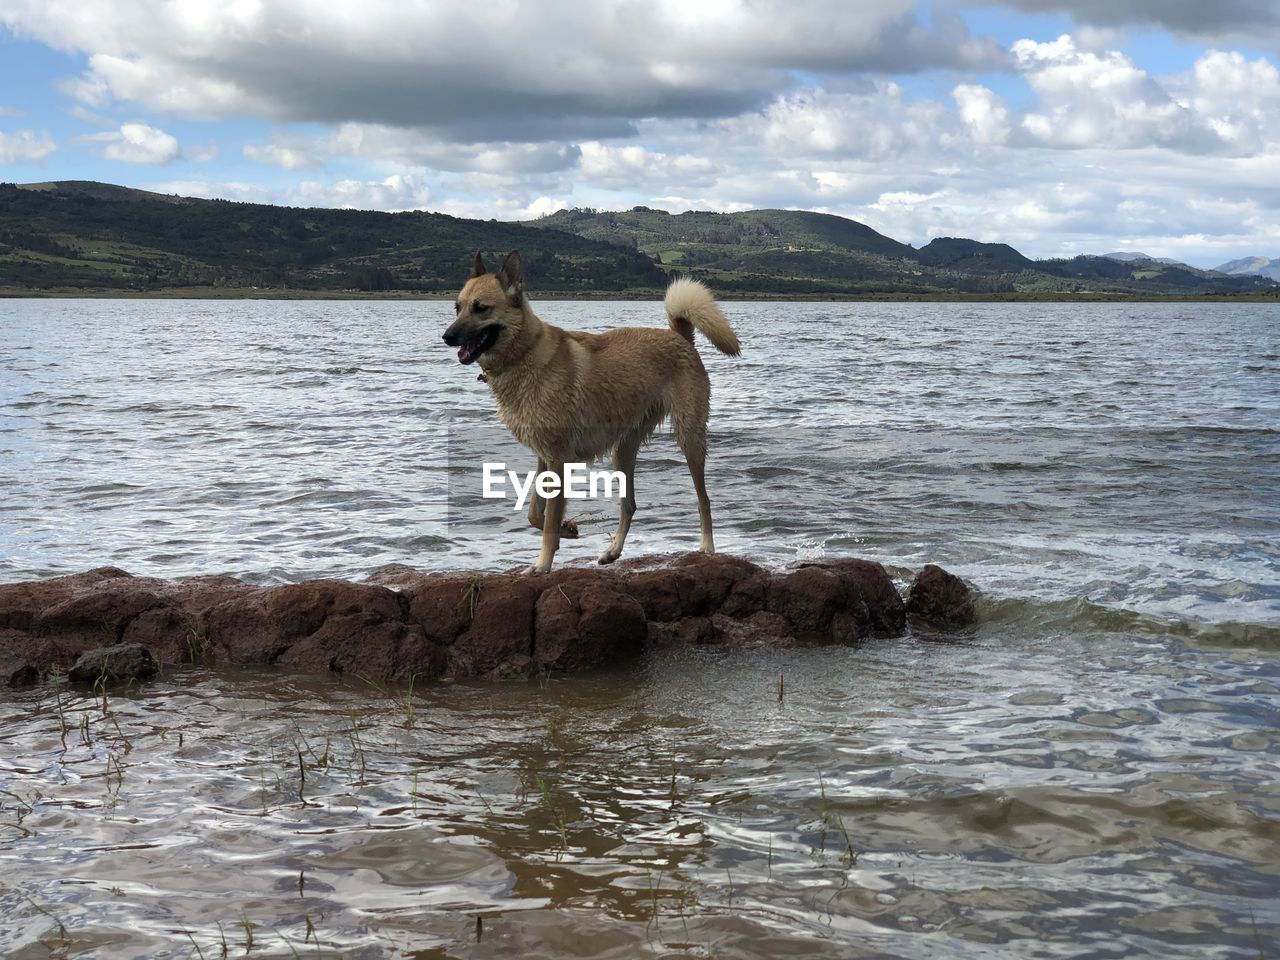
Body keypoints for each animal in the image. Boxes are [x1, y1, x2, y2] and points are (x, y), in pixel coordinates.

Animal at [440, 252, 742, 576]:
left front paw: (542, 564)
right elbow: (534, 513)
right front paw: (567, 529)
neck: (524, 354)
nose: (447, 336)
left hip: (690, 439)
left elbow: (547, 521)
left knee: (703, 500)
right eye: (457, 307)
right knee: (629, 505)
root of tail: (679, 336)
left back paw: (707, 547)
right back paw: (612, 552)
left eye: (480, 308)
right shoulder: (544, 456)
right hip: (622, 450)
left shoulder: (558, 459)